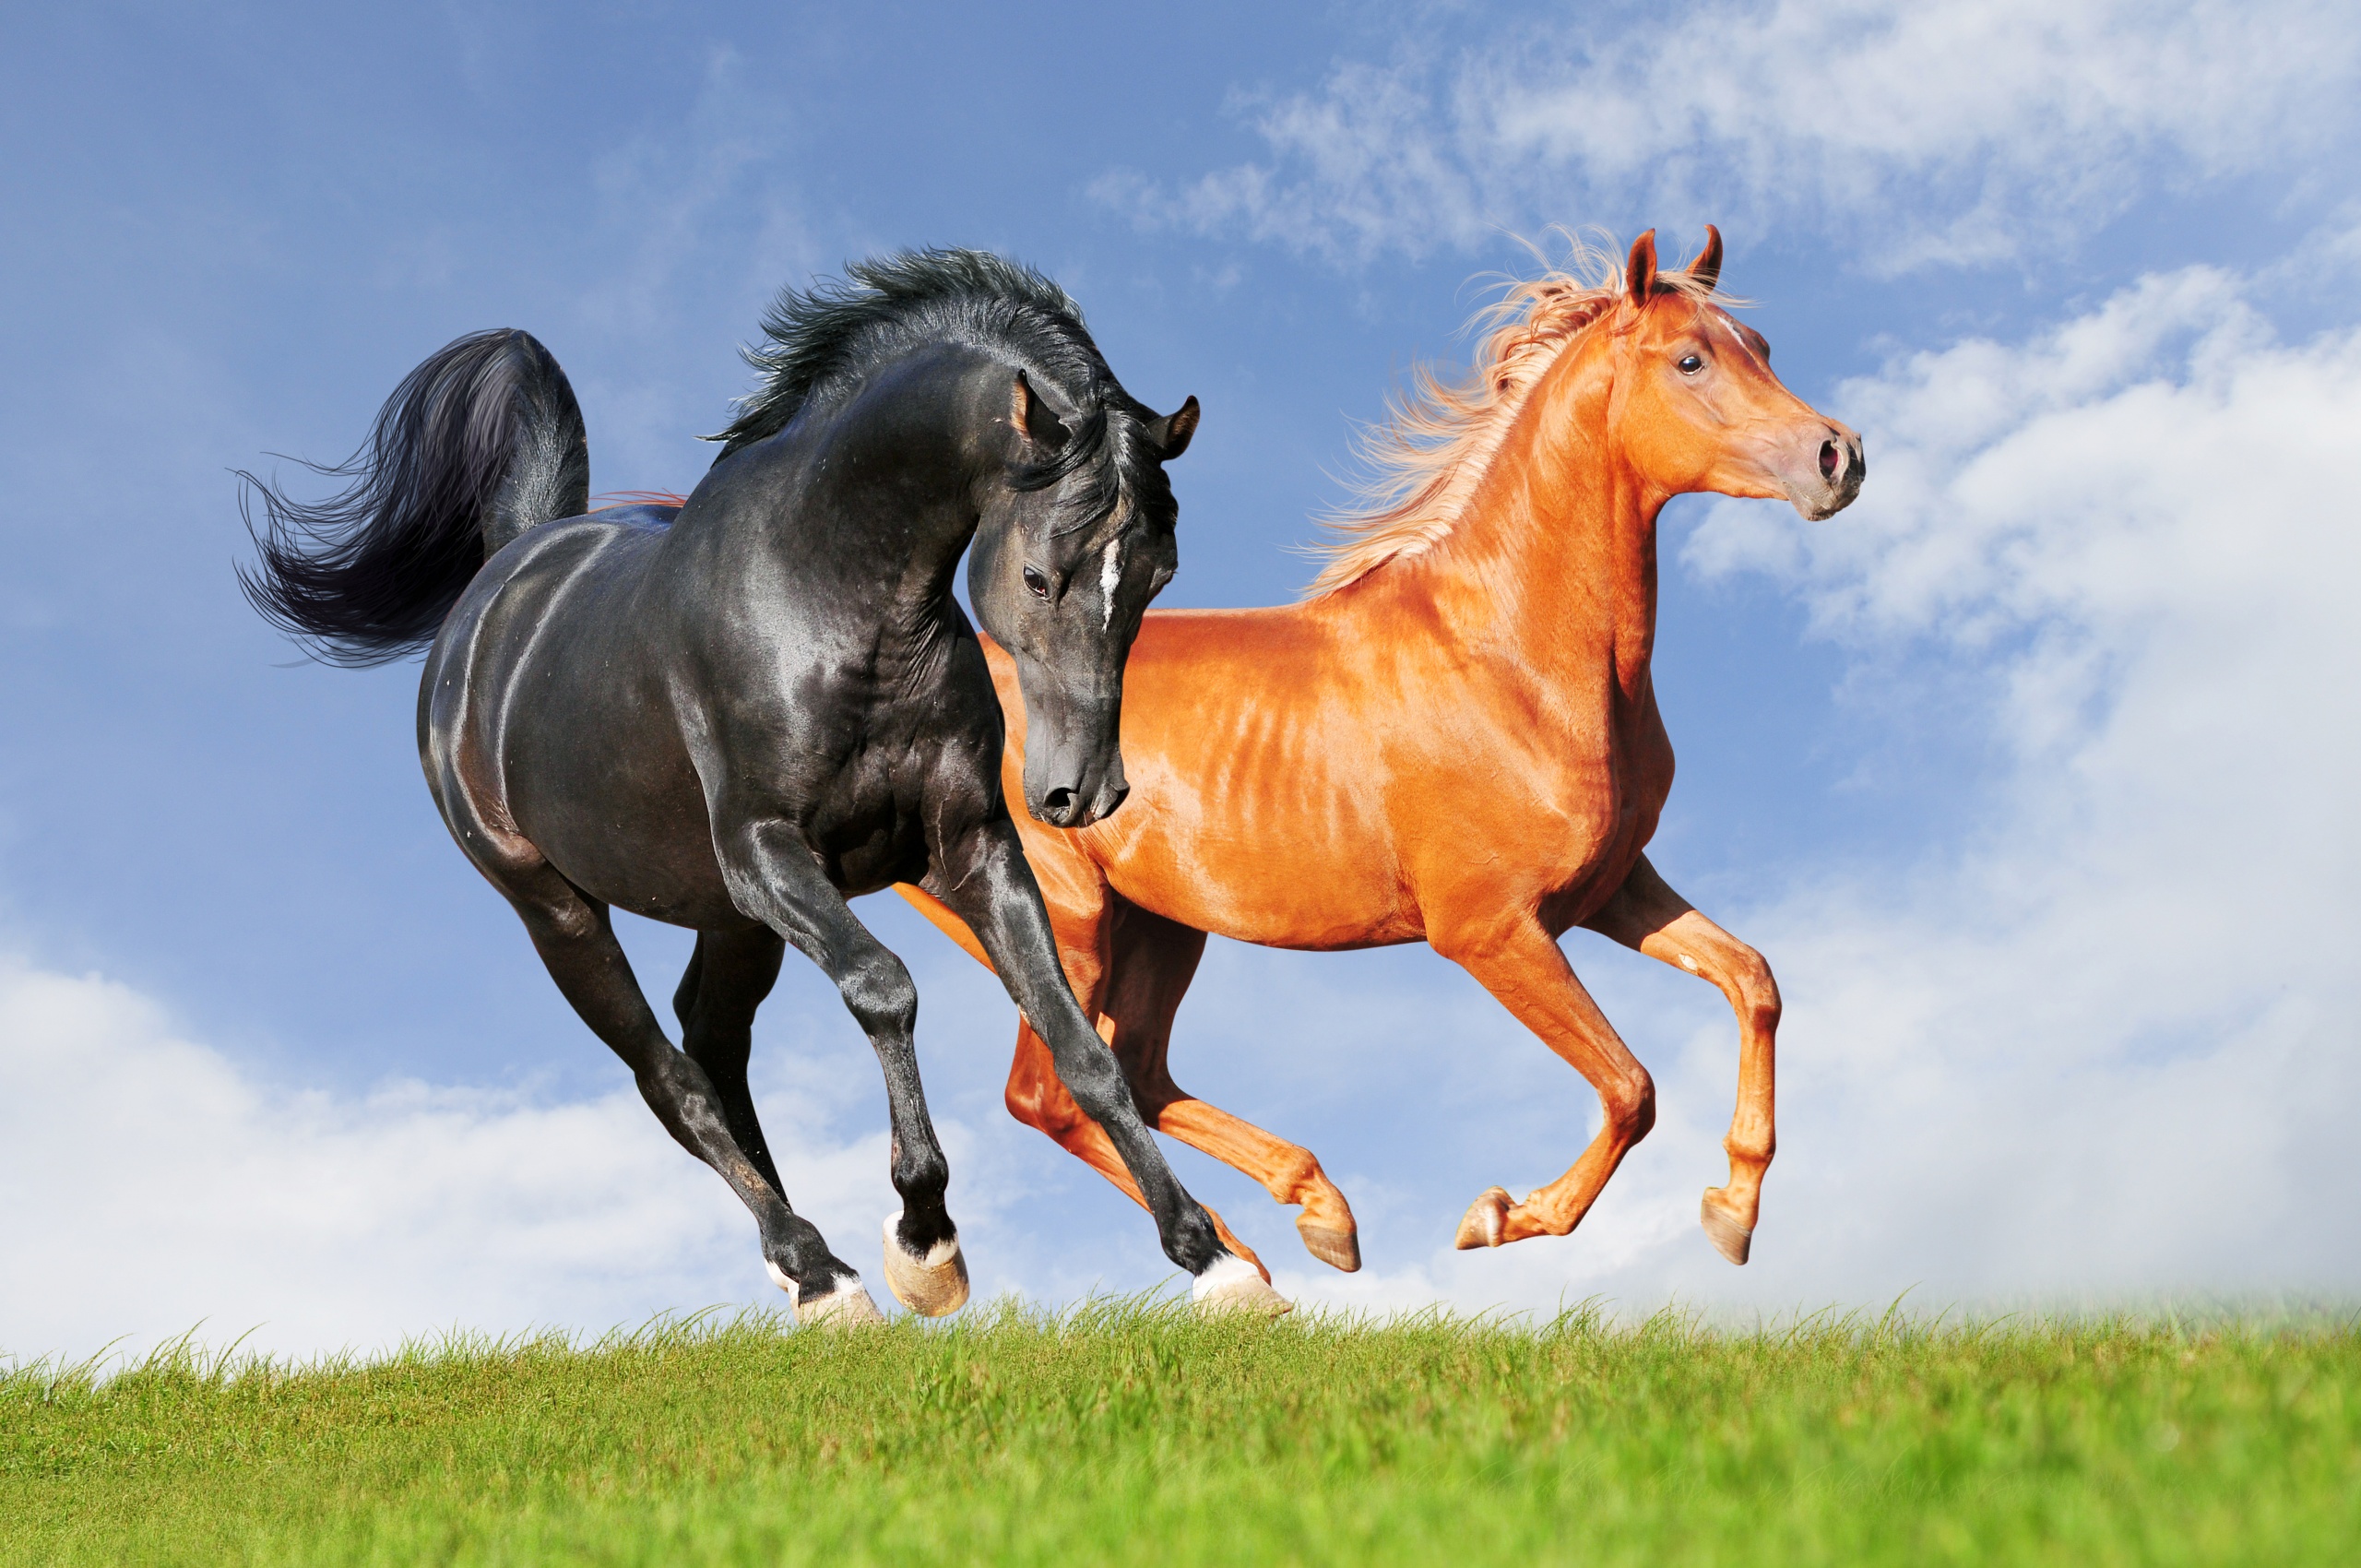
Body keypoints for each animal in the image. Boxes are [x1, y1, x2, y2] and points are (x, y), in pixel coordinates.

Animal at [242, 247, 1284, 1322]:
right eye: (1040, 575)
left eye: (1159, 574)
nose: (1082, 793)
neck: (832, 600)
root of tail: (500, 588)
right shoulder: (766, 853)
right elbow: (884, 988)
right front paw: (925, 1243)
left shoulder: (970, 847)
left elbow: (1081, 1043)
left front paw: (1214, 1258)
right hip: (559, 910)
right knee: (670, 1077)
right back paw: (819, 1269)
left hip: (727, 916)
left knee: (710, 1043)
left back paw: (808, 1269)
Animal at [896, 230, 1860, 1284]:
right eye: (1690, 360)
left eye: (1758, 345)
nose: (1838, 456)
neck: (1510, 657)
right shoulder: (1489, 931)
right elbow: (1630, 1086)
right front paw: (1500, 1214)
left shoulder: (1609, 887)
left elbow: (1752, 979)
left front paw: (1733, 1209)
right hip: (1062, 921)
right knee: (1057, 1092)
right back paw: (1240, 1262)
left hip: (1159, 926)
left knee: (1138, 1072)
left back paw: (1311, 1217)